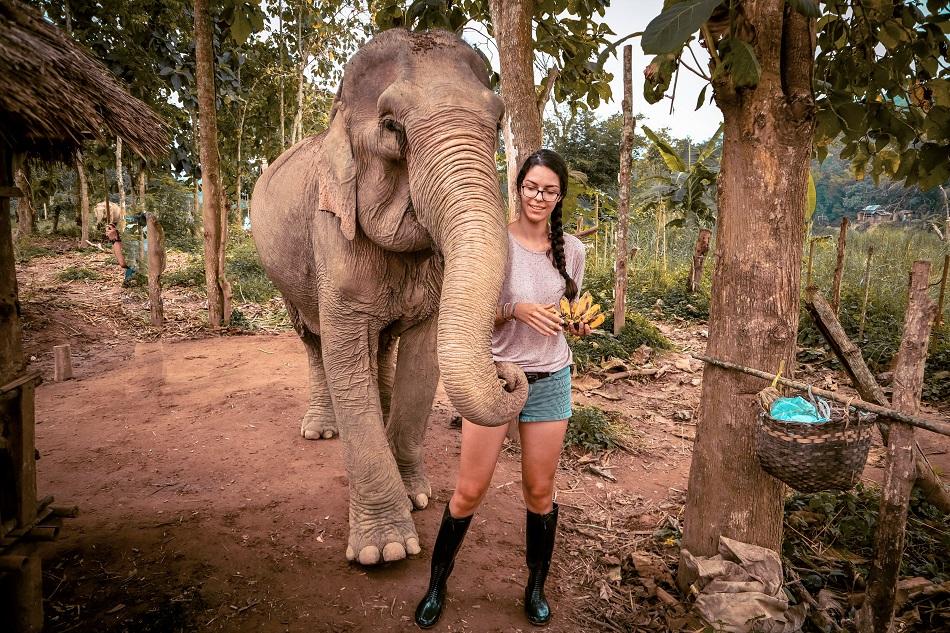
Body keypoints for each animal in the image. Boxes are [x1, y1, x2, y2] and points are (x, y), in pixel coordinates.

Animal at [250, 28, 529, 566]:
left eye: (497, 121)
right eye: (391, 126)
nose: (508, 376)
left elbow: (423, 360)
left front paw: (416, 496)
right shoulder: (331, 229)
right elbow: (343, 352)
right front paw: (386, 550)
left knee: (379, 344)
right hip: (284, 277)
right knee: (313, 340)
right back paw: (321, 428)